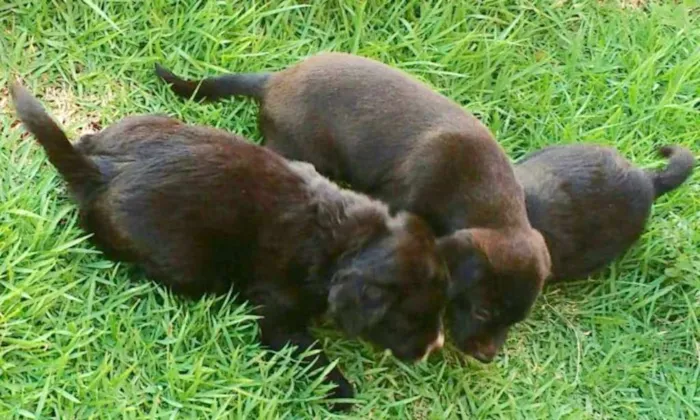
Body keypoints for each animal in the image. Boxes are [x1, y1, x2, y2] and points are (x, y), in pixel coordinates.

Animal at [10, 82, 446, 410]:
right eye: (407, 320)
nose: (433, 350)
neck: (348, 243)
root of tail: (102, 170)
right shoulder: (276, 314)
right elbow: (310, 353)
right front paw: (341, 391)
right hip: (184, 262)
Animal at [157, 52, 552, 362]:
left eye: (514, 320)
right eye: (483, 310)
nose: (486, 357)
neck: (480, 193)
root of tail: (275, 81)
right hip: (297, 148)